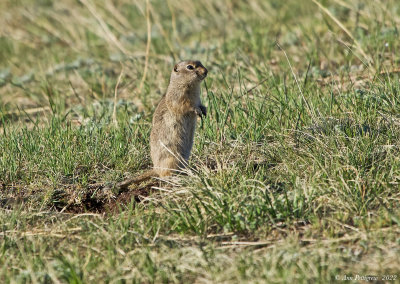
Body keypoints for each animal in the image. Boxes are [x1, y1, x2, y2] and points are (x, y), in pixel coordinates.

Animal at [115, 60, 208, 189]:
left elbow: (200, 104)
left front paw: (204, 111)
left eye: (200, 62)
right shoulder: (178, 98)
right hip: (171, 158)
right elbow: (185, 106)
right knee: (164, 175)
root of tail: (155, 168)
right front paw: (197, 111)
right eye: (190, 67)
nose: (206, 71)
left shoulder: (197, 99)